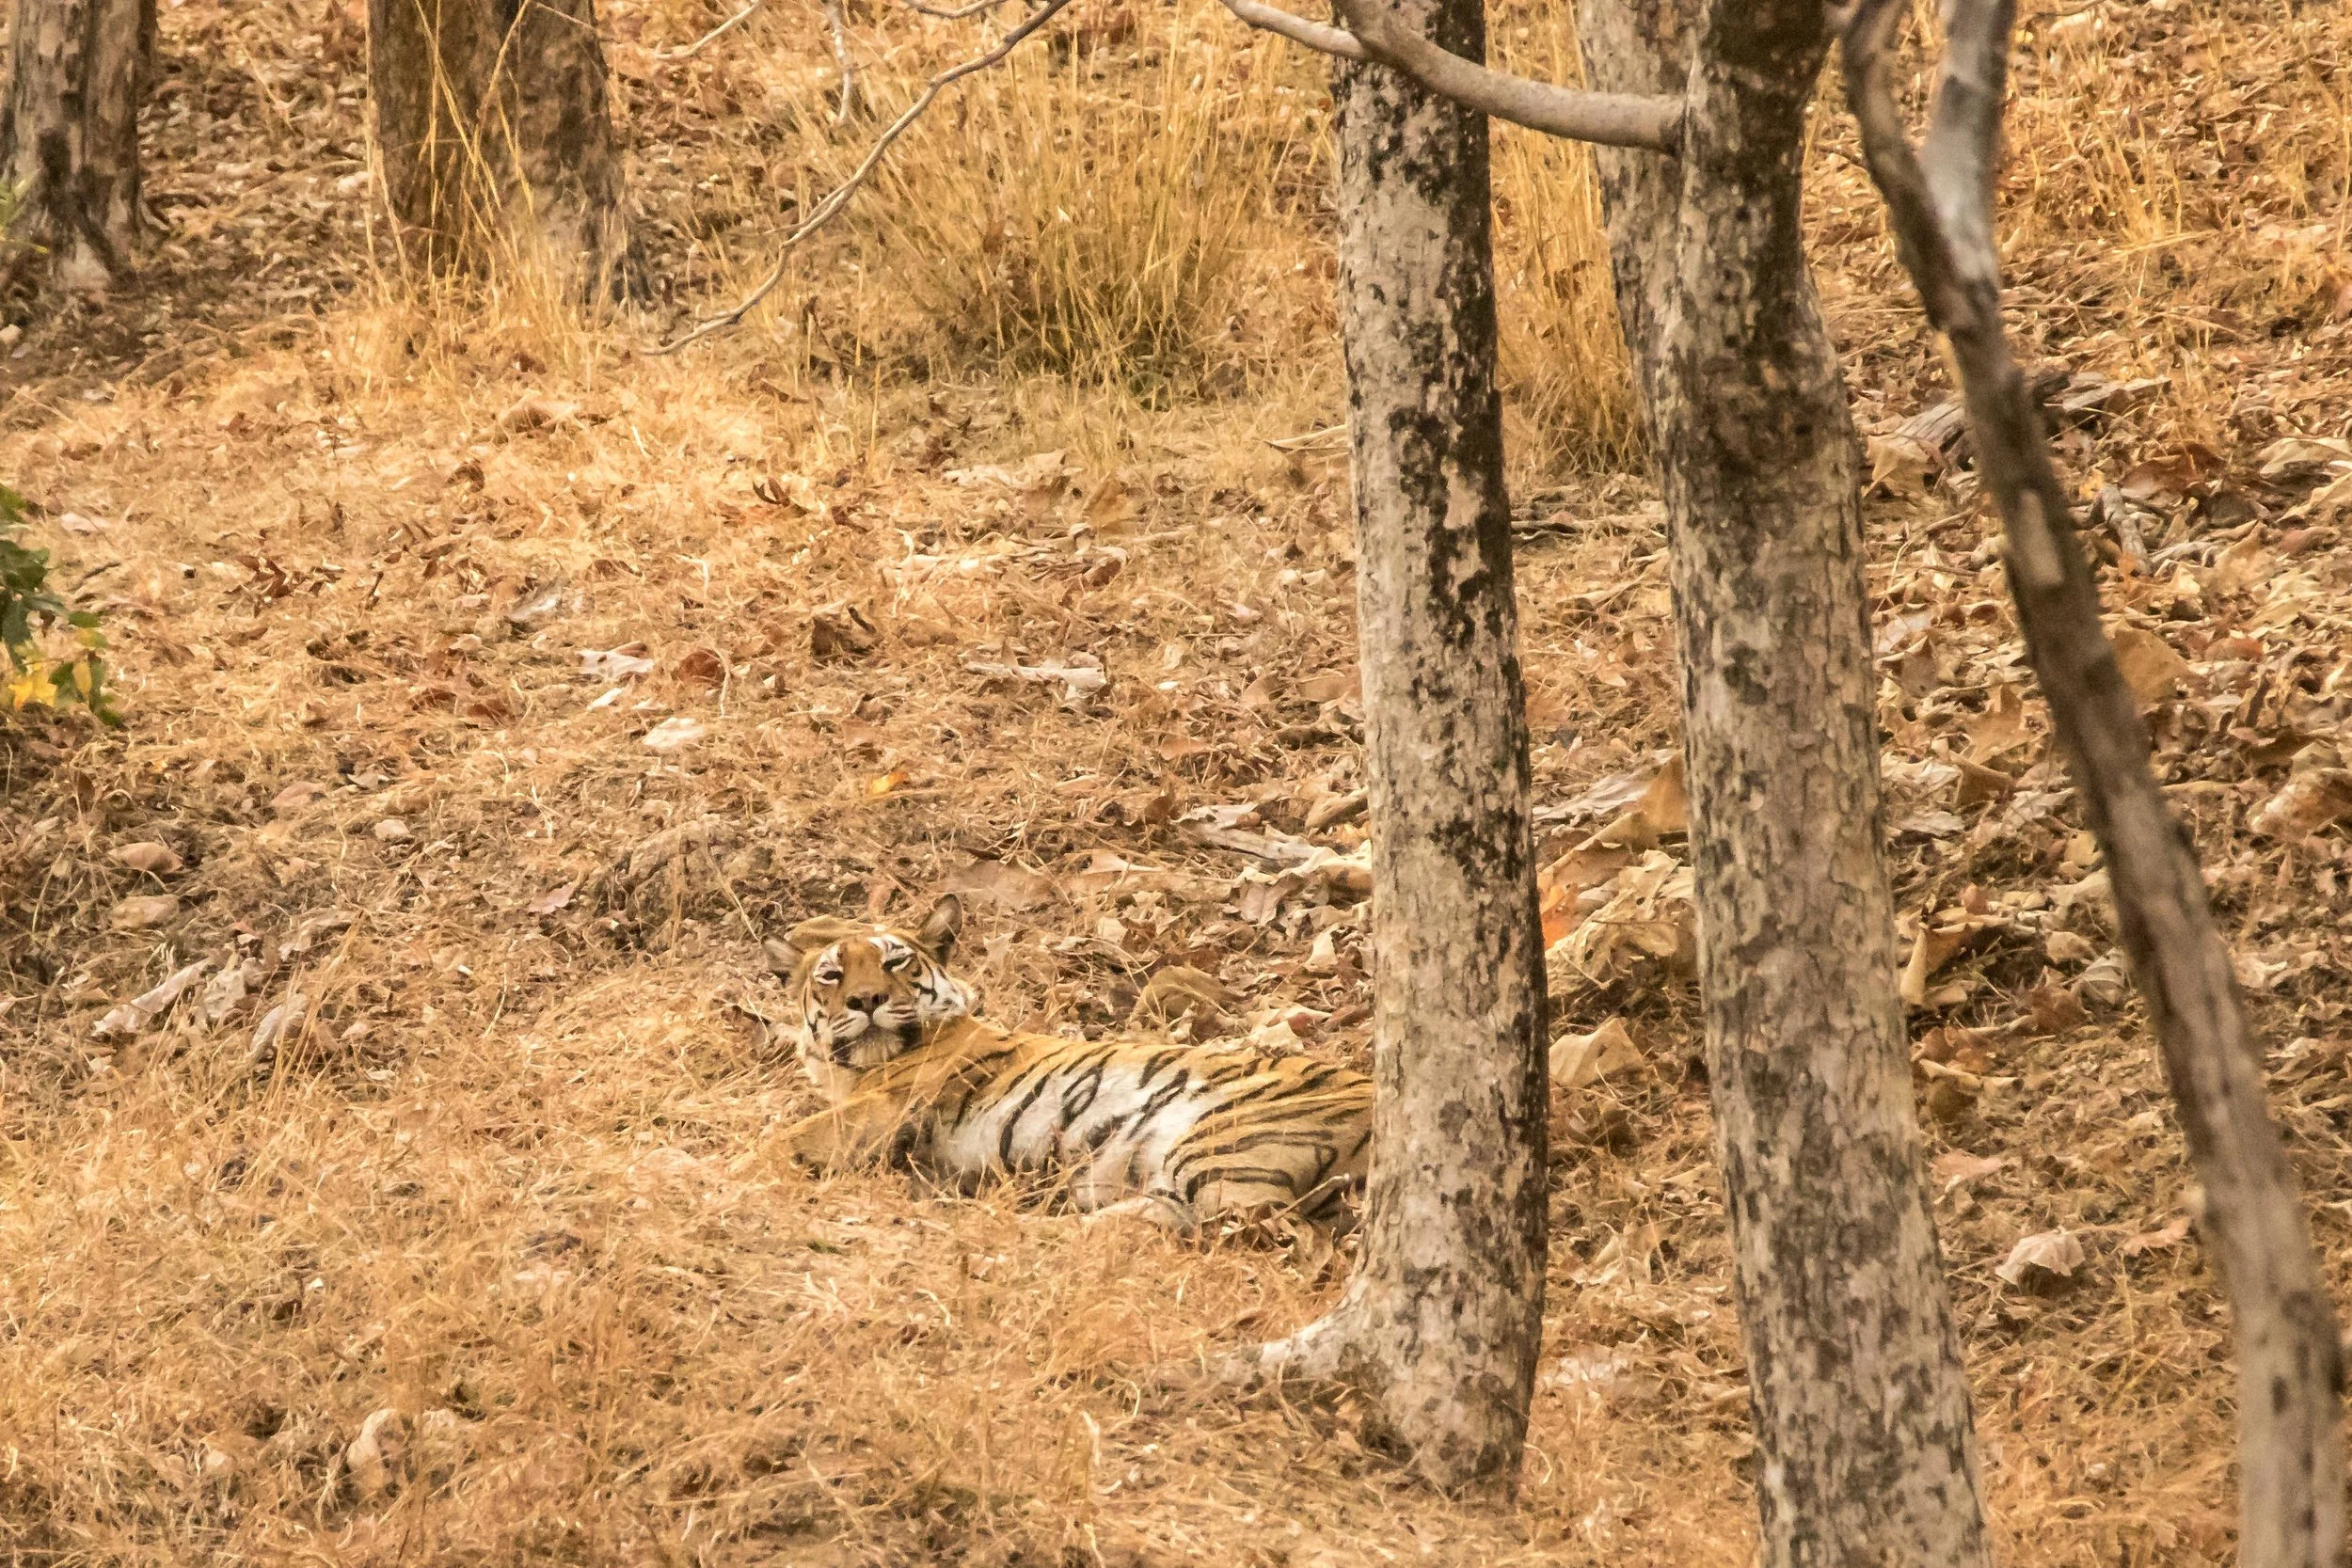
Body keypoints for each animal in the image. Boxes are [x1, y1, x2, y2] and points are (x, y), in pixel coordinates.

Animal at [765, 895, 1374, 1232]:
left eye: (895, 962)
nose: (865, 1000)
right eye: (831, 975)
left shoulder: (888, 1105)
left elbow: (778, 1139)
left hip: (1223, 1138)